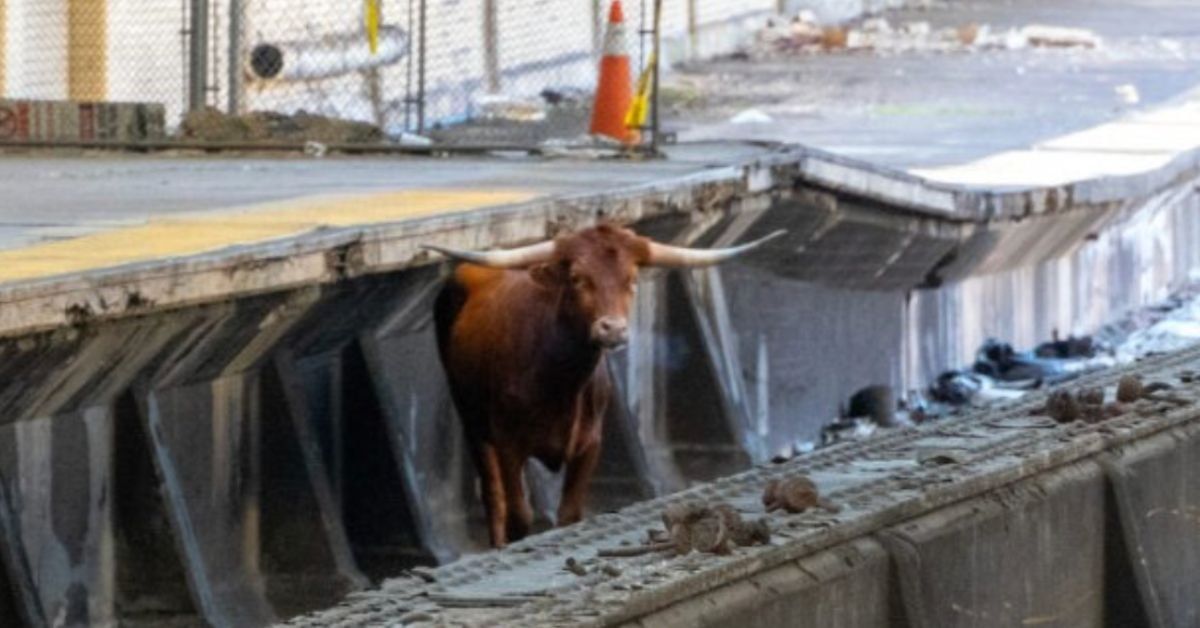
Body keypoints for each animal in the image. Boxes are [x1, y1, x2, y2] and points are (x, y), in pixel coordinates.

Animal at [427, 224, 782, 545]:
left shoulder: (589, 444)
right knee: (493, 497)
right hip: (473, 423)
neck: (557, 382)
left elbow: (569, 514)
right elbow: (519, 516)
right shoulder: (508, 443)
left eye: (632, 279)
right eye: (577, 278)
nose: (612, 329)